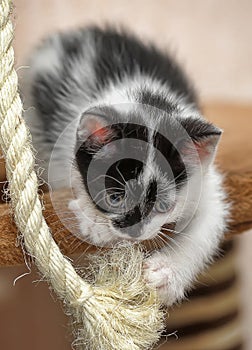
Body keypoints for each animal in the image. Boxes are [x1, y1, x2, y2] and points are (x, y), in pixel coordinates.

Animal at [23, 26, 228, 306]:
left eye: (163, 205)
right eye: (115, 198)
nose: (134, 232)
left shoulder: (204, 183)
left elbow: (209, 220)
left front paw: (167, 274)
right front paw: (95, 223)